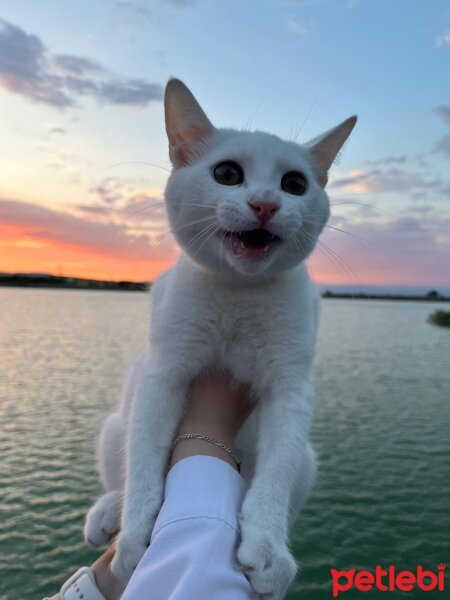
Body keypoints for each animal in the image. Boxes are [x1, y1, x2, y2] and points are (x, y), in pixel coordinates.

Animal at [84, 78, 356, 596]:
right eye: (227, 173)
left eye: (295, 184)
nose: (266, 203)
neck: (237, 294)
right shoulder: (162, 374)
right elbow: (145, 464)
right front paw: (134, 541)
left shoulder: (289, 389)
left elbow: (275, 472)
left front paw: (268, 550)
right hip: (113, 427)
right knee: (123, 471)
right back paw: (109, 512)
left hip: (309, 462)